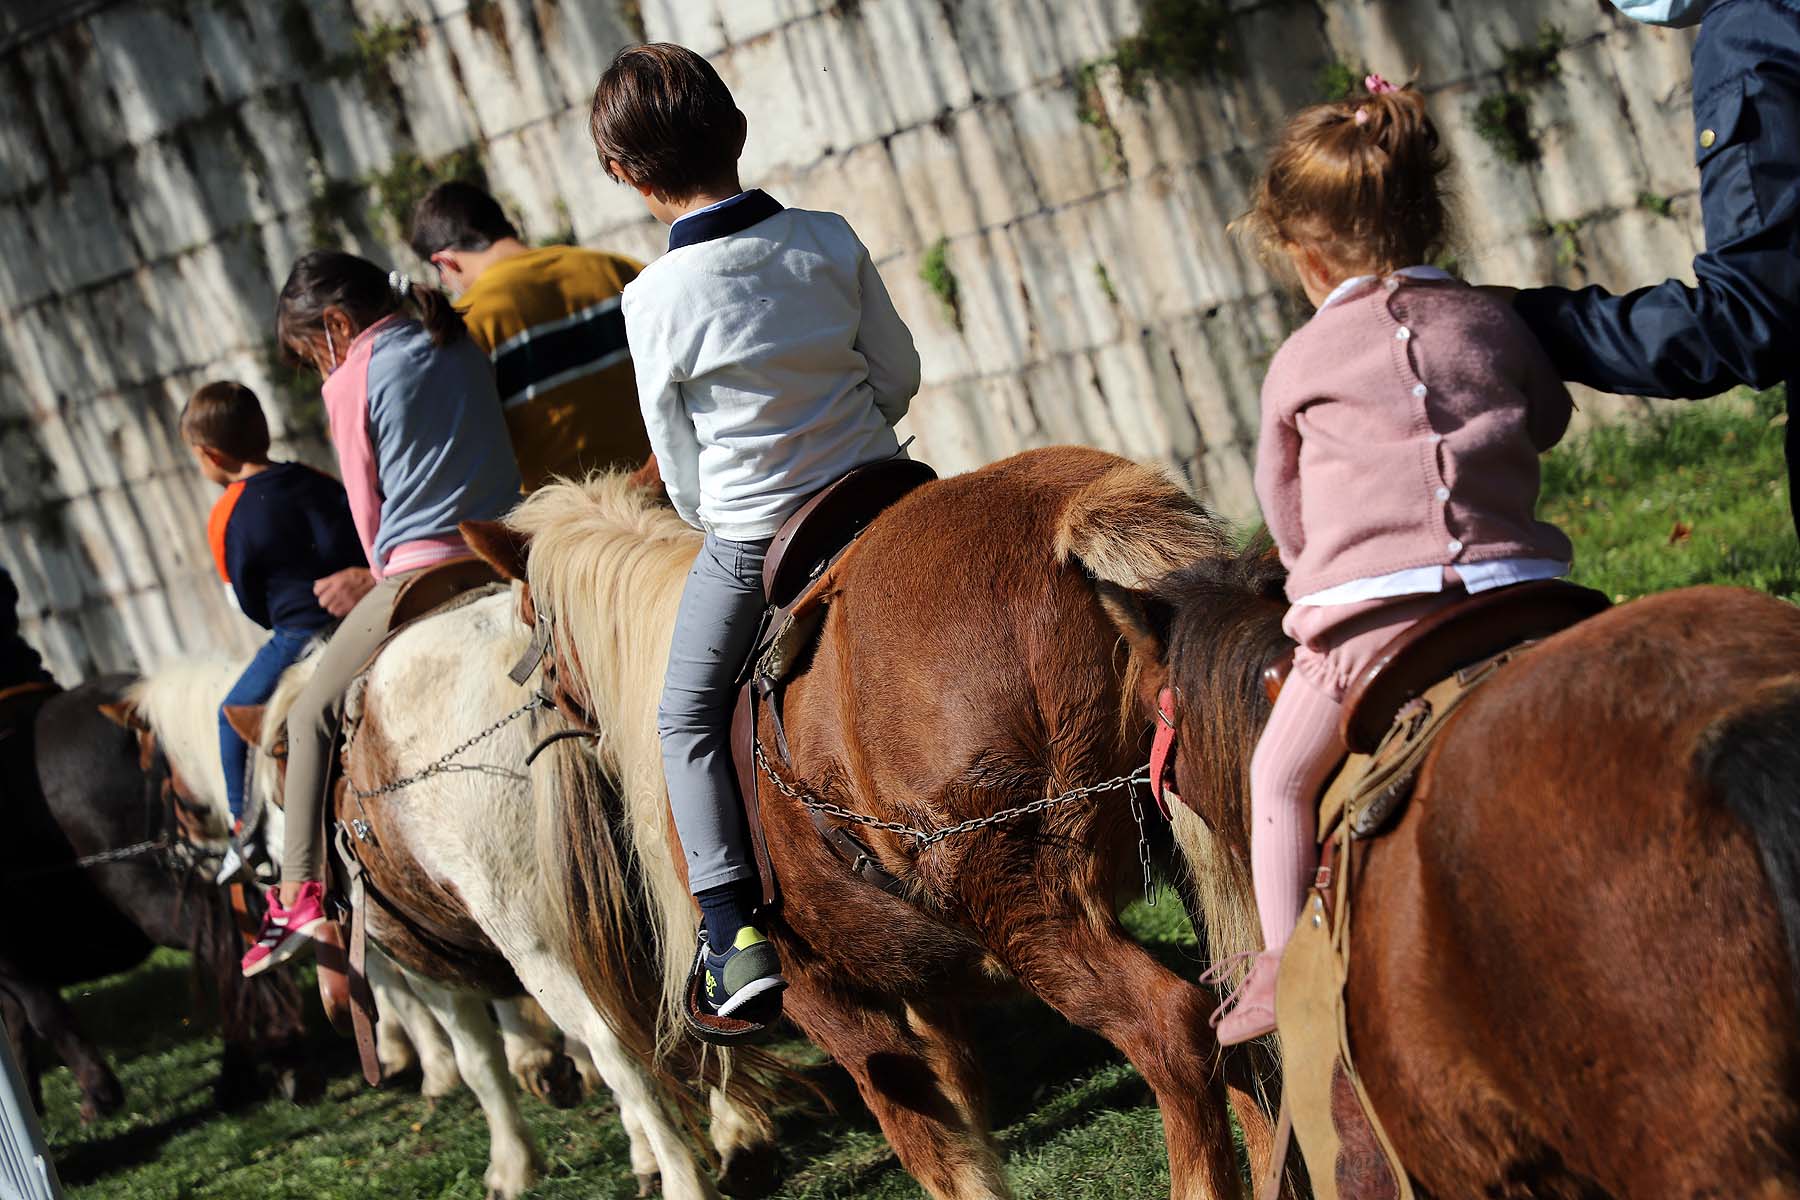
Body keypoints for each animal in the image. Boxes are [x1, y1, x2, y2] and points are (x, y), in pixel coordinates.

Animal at [471, 447, 1288, 1200]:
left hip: (1027, 910)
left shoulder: (824, 997)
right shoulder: (922, 983)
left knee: (1172, 1031)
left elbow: (933, 1150)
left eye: (527, 616)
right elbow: (961, 1105)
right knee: (1242, 1023)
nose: (535, 696)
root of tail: (1075, 512)